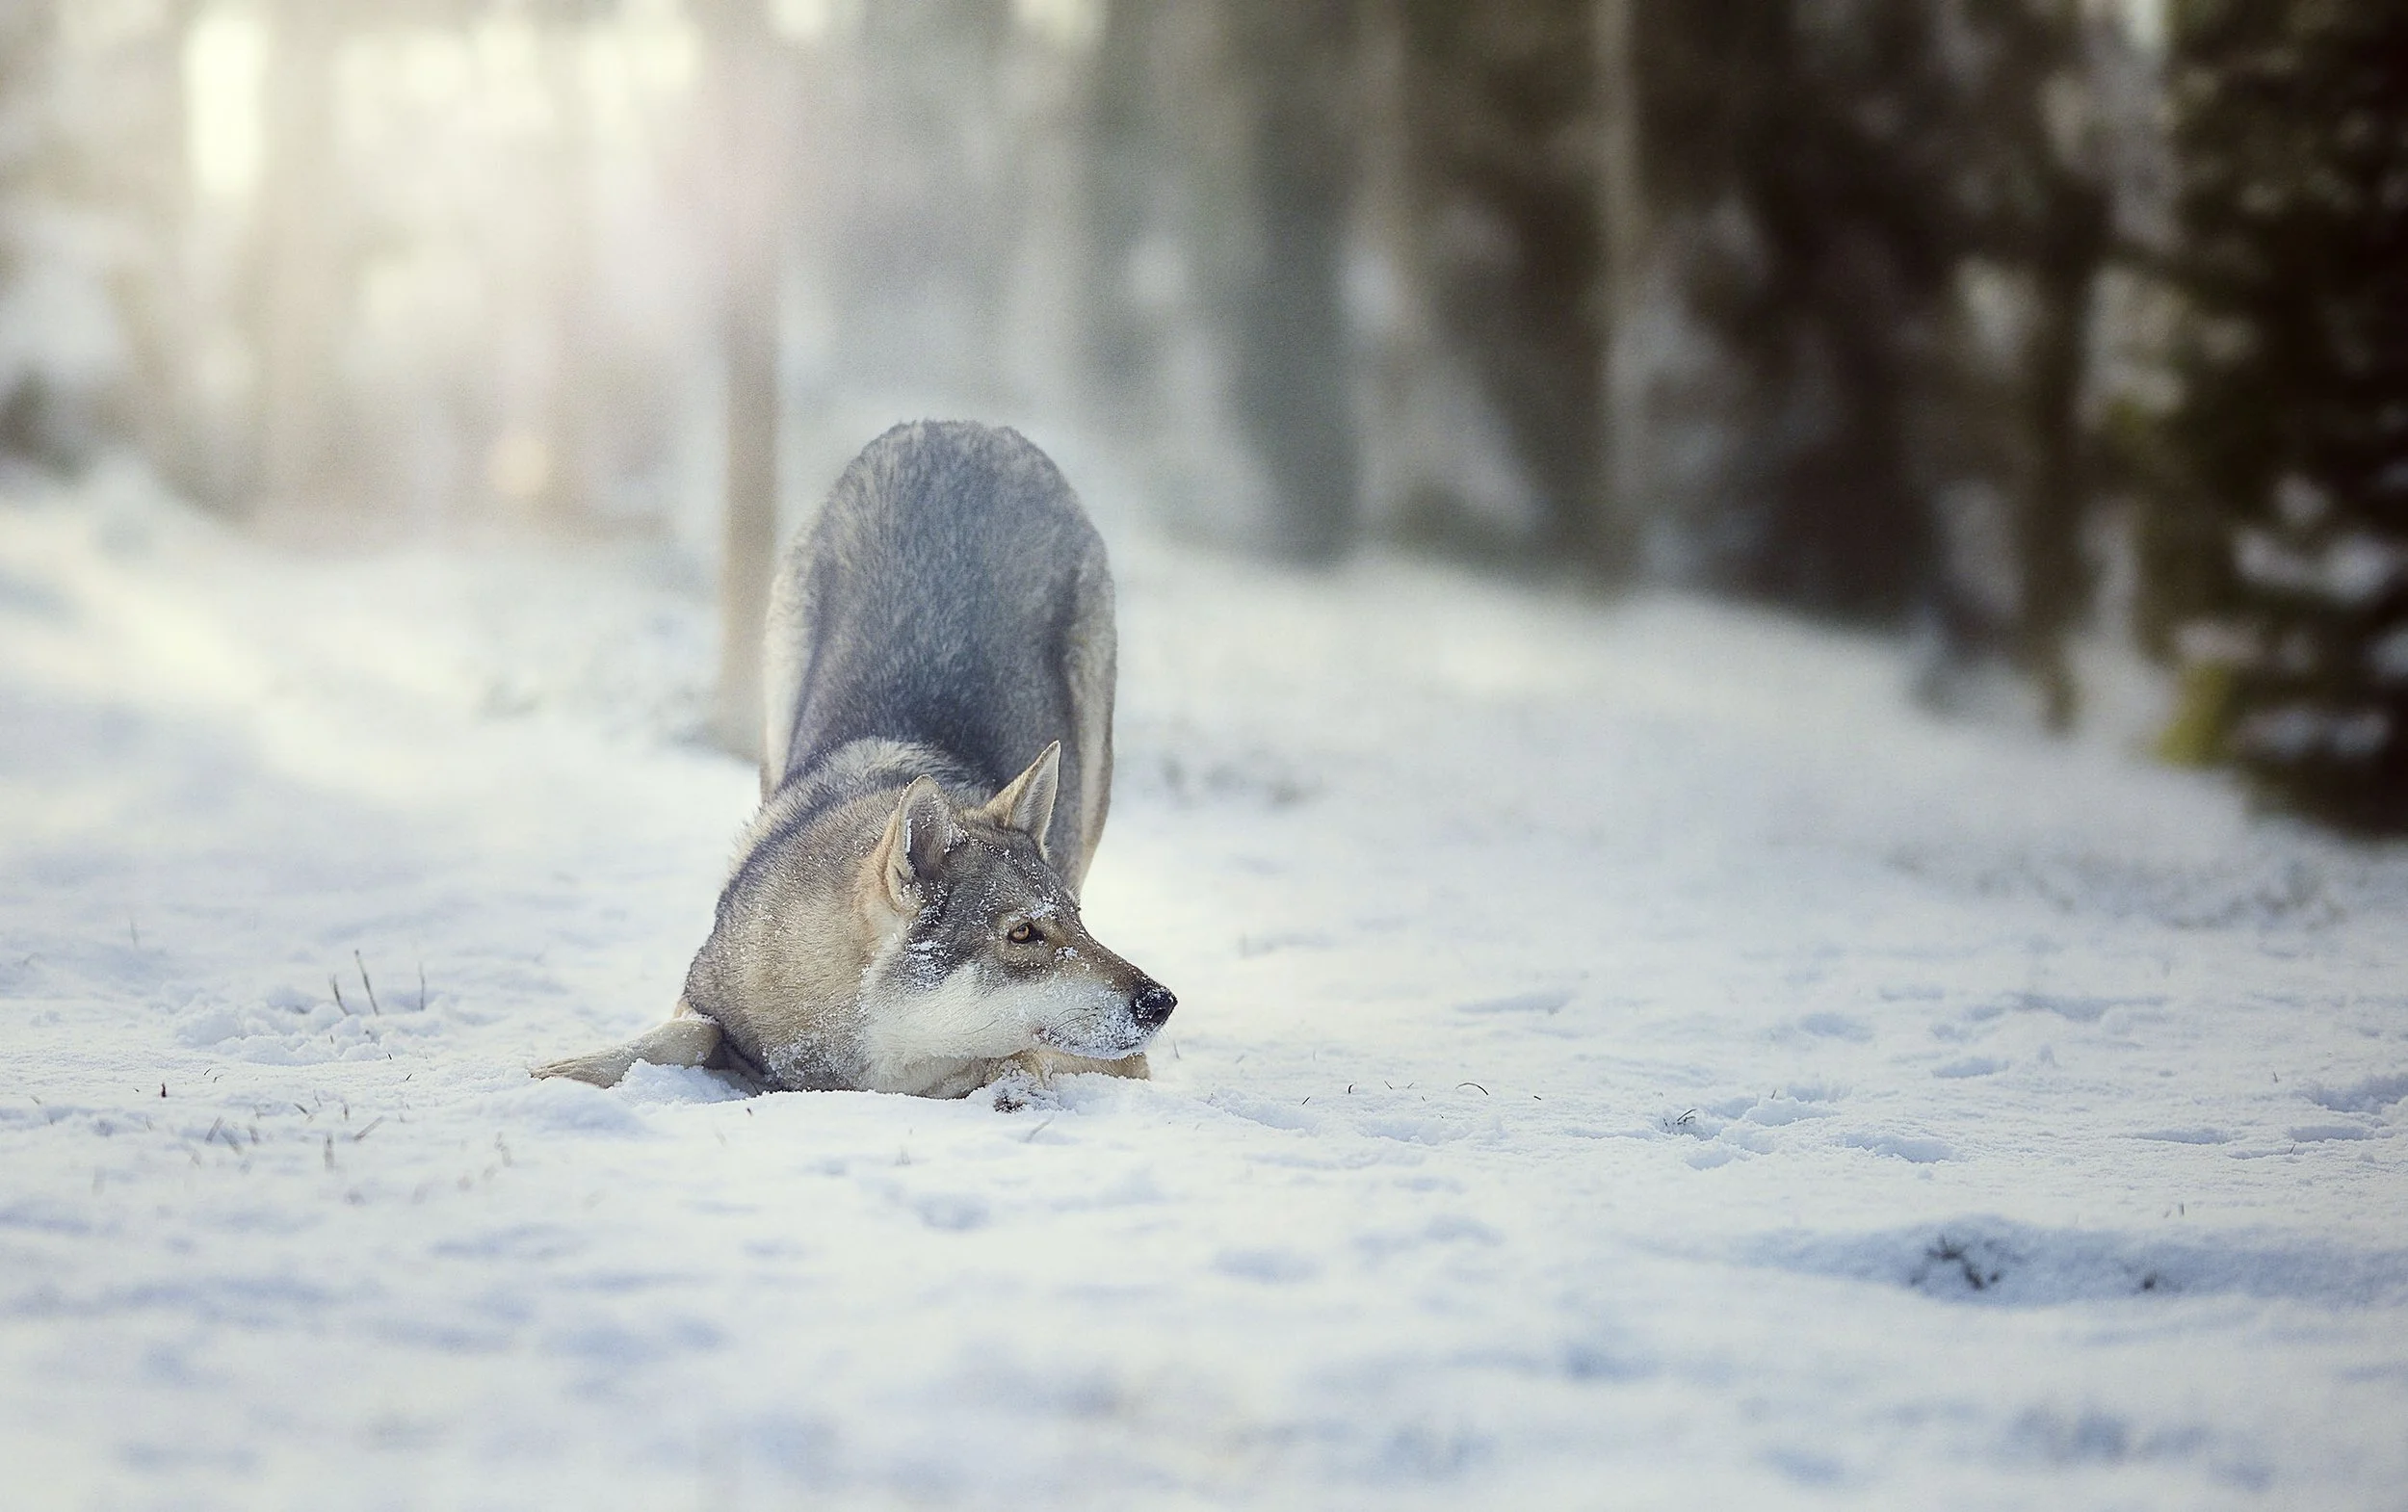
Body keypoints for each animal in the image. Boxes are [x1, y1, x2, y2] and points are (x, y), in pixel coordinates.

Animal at [537, 421, 1175, 1098]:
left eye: (1078, 923)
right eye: (1024, 932)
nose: (1161, 1001)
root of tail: (960, 427)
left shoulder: (1126, 1063)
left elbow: (1012, 1058)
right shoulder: (703, 1002)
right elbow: (690, 1034)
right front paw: (560, 1070)